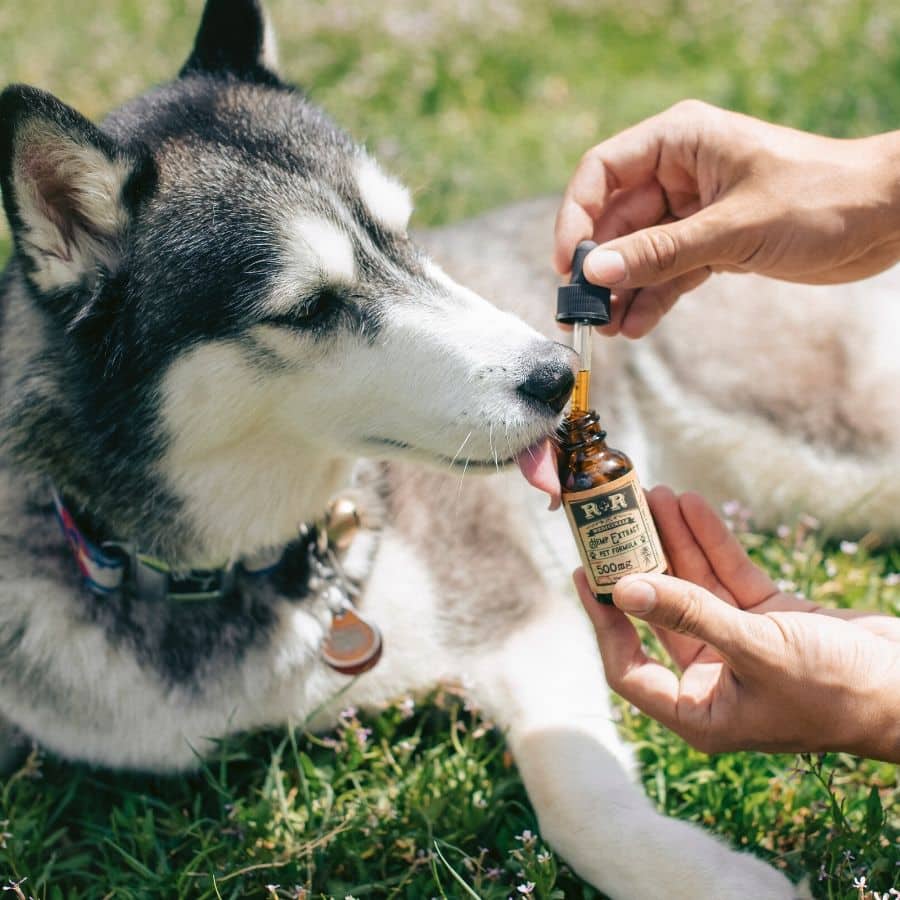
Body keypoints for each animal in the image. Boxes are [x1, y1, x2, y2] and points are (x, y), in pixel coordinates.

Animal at [3, 0, 896, 896]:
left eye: (404, 234)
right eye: (310, 307)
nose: (554, 374)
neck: (251, 570)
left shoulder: (520, 606)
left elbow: (576, 799)